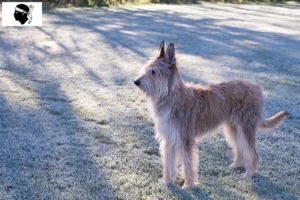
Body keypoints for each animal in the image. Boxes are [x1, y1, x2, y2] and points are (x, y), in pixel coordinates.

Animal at [134, 41, 288, 188]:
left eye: (154, 72)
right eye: (147, 69)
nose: (136, 81)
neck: (171, 96)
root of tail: (257, 88)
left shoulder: (185, 140)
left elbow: (188, 165)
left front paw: (188, 185)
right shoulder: (169, 139)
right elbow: (169, 163)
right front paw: (167, 182)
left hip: (245, 129)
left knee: (252, 153)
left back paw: (249, 173)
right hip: (233, 129)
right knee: (240, 148)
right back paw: (236, 165)